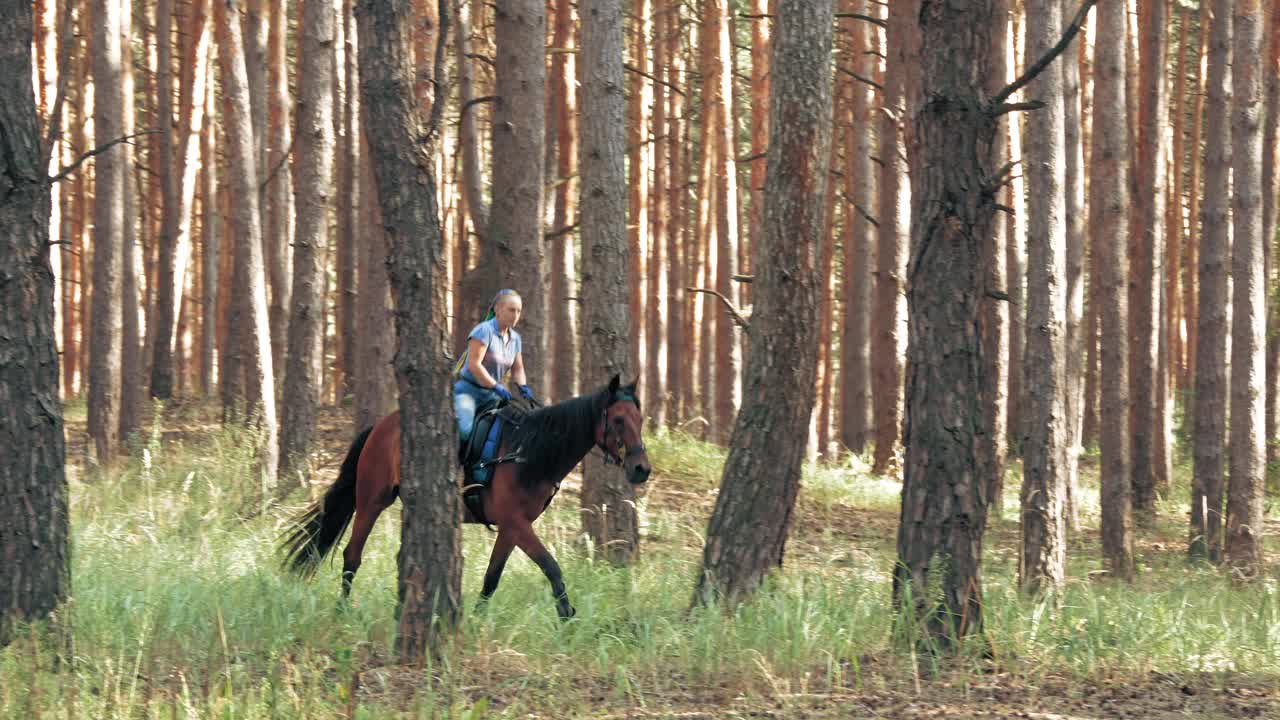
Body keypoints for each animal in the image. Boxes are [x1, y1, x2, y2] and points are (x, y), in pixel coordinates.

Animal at [280, 371, 650, 614]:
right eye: (618, 420)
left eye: (641, 418)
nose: (641, 469)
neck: (530, 451)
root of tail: (379, 427)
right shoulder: (517, 524)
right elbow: (553, 569)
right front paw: (567, 618)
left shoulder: (511, 528)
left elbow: (491, 578)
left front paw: (476, 620)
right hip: (372, 500)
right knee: (351, 556)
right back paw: (342, 612)